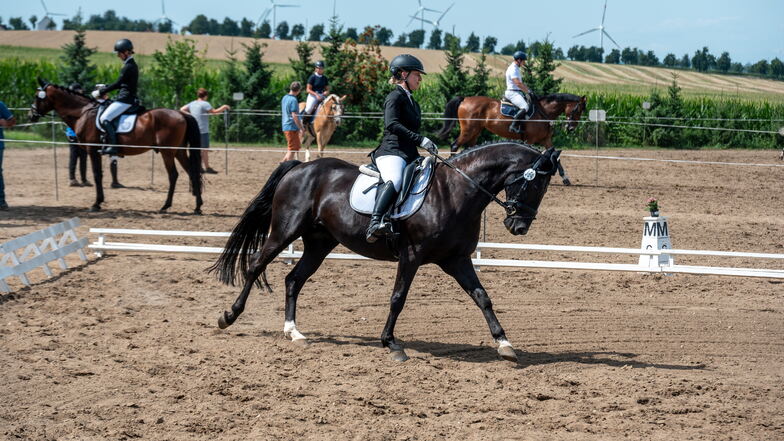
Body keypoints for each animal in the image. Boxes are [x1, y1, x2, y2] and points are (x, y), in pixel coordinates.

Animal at [29, 78, 204, 213]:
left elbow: (97, 175)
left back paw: (165, 206)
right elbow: (99, 174)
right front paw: (98, 202)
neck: (82, 112)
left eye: (37, 96)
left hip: (167, 152)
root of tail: (181, 114)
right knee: (191, 172)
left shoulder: (93, 150)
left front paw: (96, 204)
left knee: (173, 175)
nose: (31, 115)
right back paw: (197, 207)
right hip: (179, 151)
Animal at [208, 141, 564, 360]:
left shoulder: (456, 259)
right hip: (285, 230)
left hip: (319, 243)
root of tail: (298, 168)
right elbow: (398, 298)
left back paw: (293, 332)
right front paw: (390, 342)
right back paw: (228, 316)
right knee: (256, 264)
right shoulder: (412, 256)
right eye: (534, 183)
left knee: (294, 279)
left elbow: (482, 297)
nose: (519, 227)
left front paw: (505, 344)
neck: (455, 192)